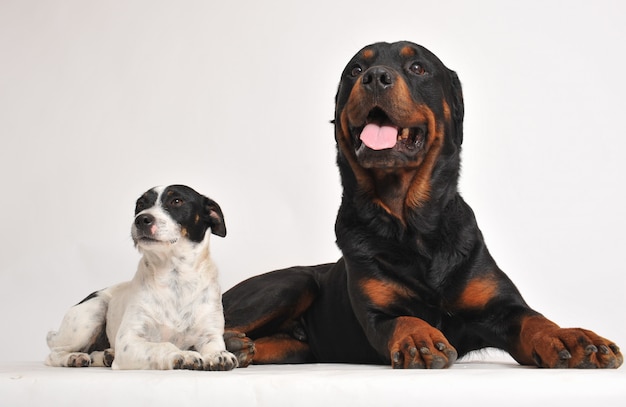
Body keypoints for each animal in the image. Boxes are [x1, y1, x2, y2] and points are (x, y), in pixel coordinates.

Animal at [45, 186, 238, 372]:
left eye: (176, 201)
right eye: (140, 204)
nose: (141, 219)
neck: (175, 279)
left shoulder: (210, 334)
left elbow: (214, 347)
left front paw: (219, 355)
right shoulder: (128, 342)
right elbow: (163, 346)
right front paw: (184, 355)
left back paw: (106, 355)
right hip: (93, 311)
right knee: (54, 354)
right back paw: (74, 357)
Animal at [224, 41, 620, 370]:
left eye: (417, 68)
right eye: (355, 70)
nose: (375, 77)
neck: (410, 225)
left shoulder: (500, 308)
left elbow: (533, 319)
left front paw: (571, 337)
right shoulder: (377, 313)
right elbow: (403, 318)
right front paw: (419, 338)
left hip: (298, 345)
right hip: (292, 282)